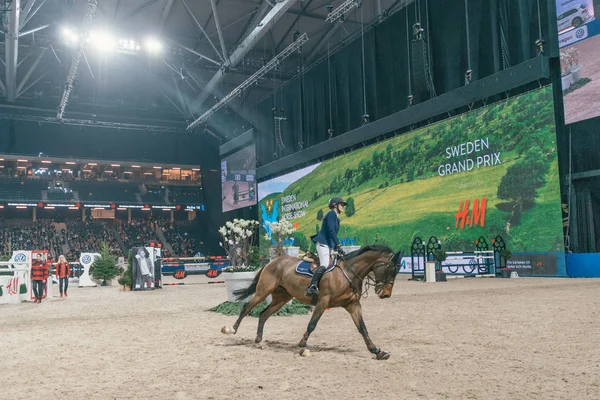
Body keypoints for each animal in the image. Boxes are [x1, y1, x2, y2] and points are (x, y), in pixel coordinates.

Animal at [221, 244, 404, 360]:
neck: (348, 272)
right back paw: (232, 329)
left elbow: (363, 328)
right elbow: (312, 324)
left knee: (263, 314)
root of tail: (272, 262)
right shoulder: (323, 301)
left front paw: (377, 351)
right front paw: (302, 345)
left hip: (282, 298)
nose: (386, 294)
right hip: (263, 291)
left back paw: (259, 339)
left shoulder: (352, 305)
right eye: (391, 269)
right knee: (247, 307)